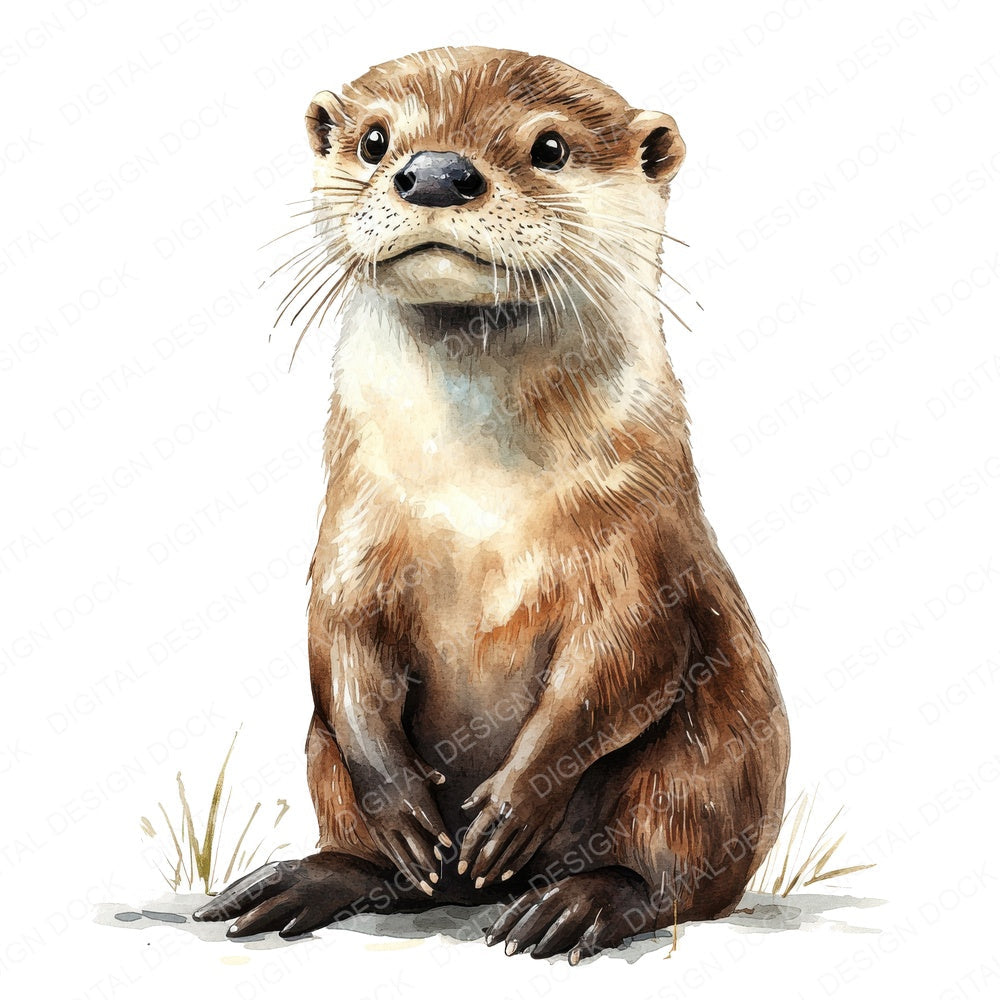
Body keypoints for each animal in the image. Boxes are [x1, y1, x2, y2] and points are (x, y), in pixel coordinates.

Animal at [193, 46, 790, 964]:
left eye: (549, 147)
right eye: (375, 140)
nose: (435, 172)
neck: (472, 501)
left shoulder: (642, 543)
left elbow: (624, 660)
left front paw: (513, 805)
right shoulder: (350, 535)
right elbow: (340, 646)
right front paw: (405, 812)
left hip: (713, 761)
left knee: (674, 872)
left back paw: (576, 901)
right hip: (320, 754)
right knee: (370, 835)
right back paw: (317, 877)